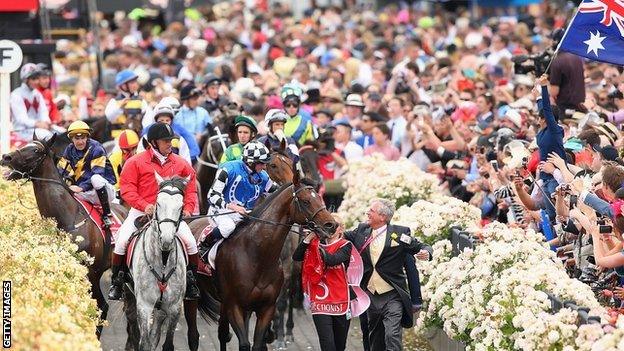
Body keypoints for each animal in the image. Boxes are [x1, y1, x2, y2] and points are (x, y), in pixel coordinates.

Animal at [123, 176, 189, 351]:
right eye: (158, 203)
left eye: (181, 206)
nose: (166, 239)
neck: (163, 260)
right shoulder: (144, 306)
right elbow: (144, 343)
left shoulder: (174, 308)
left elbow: (166, 344)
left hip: (160, 310)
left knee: (155, 335)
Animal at [190, 171, 338, 351]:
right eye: (306, 201)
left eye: (320, 198)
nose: (331, 225)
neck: (256, 256)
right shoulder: (235, 306)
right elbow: (245, 344)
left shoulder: (266, 307)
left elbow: (258, 342)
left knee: (223, 333)